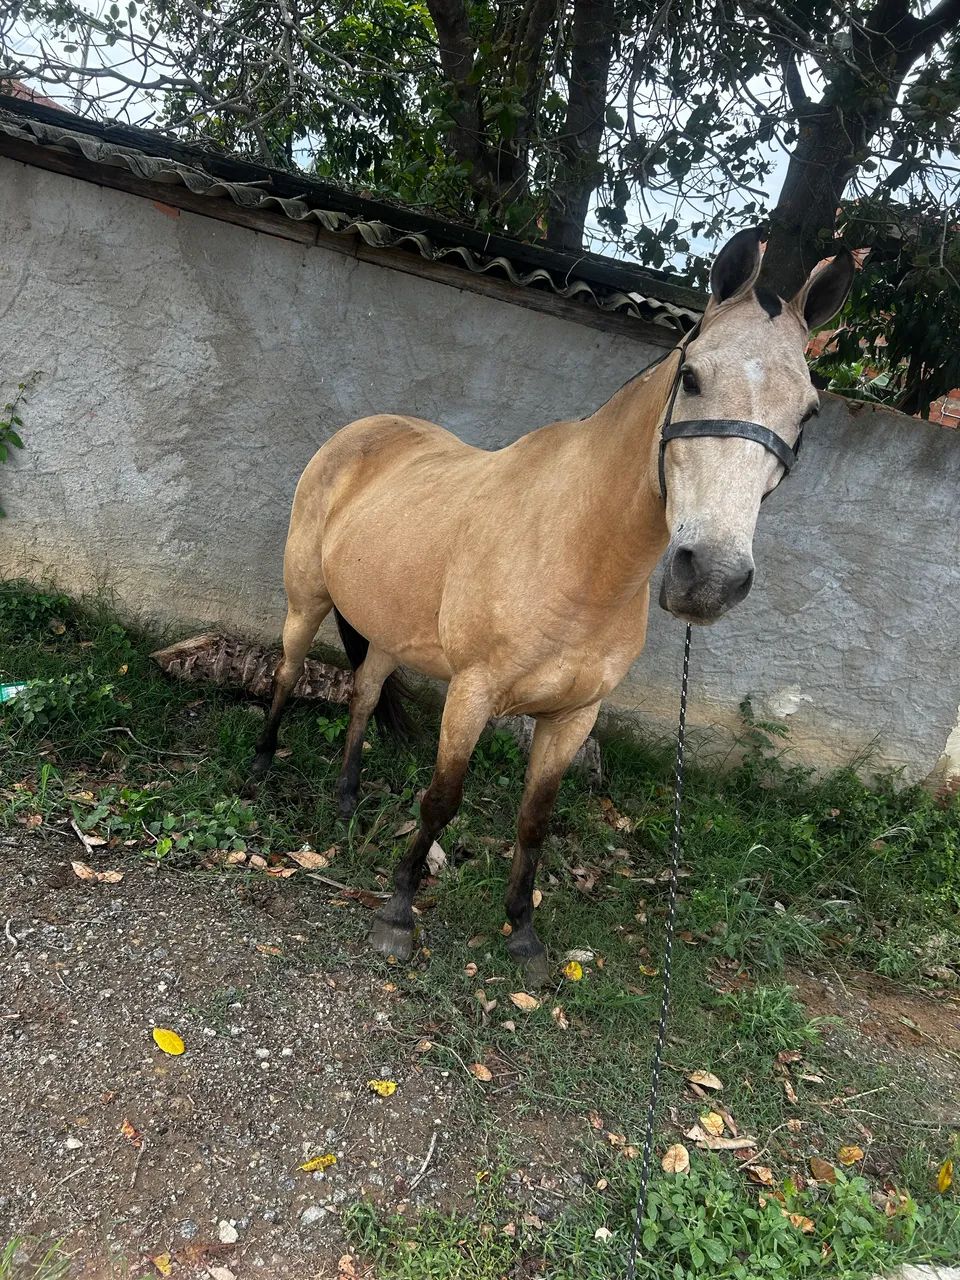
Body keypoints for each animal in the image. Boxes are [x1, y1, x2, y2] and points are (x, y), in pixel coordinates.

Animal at [246, 227, 854, 985]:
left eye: (809, 412)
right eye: (691, 377)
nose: (710, 576)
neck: (577, 554)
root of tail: (360, 432)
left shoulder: (573, 716)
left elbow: (535, 819)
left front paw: (524, 936)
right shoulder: (472, 693)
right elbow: (442, 798)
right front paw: (397, 915)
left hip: (388, 630)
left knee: (362, 695)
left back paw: (347, 800)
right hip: (307, 601)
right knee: (289, 671)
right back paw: (261, 769)